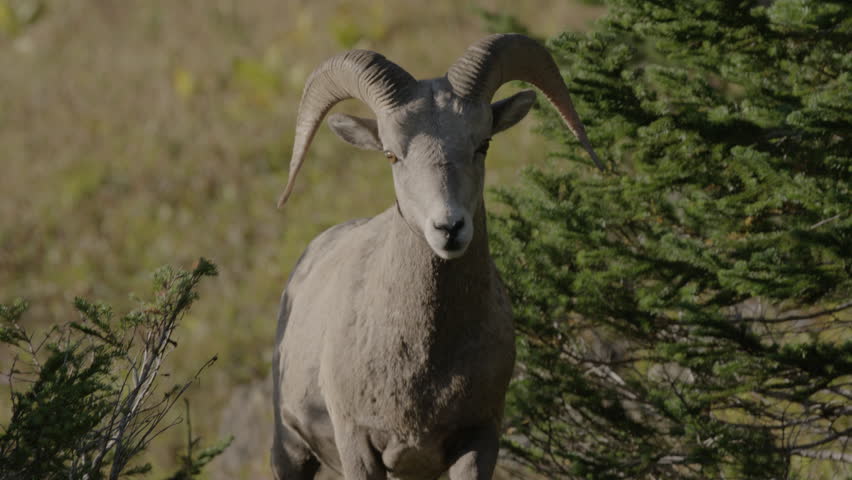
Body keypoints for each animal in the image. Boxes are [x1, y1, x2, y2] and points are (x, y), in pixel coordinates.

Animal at [272, 34, 602, 480]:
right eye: (391, 155)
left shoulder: (478, 439)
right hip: (290, 450)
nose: (449, 227)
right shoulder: (358, 446)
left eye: (483, 143)